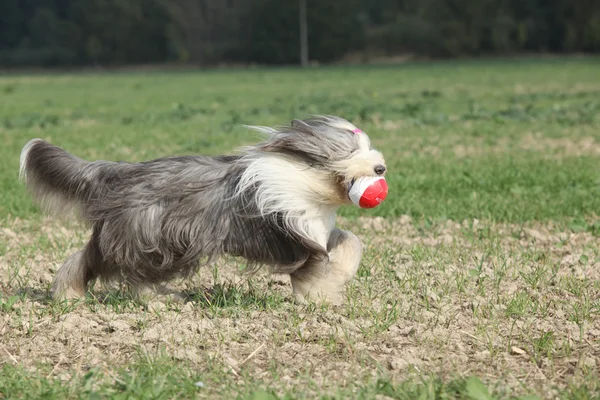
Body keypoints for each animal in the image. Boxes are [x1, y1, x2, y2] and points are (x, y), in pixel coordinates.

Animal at [18, 115, 386, 304]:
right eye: (350, 151)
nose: (381, 168)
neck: (308, 181)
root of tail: (123, 171)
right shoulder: (296, 237)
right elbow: (315, 270)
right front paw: (323, 299)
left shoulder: (318, 230)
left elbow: (352, 241)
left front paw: (339, 279)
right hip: (152, 237)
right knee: (119, 267)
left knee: (89, 259)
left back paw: (71, 294)